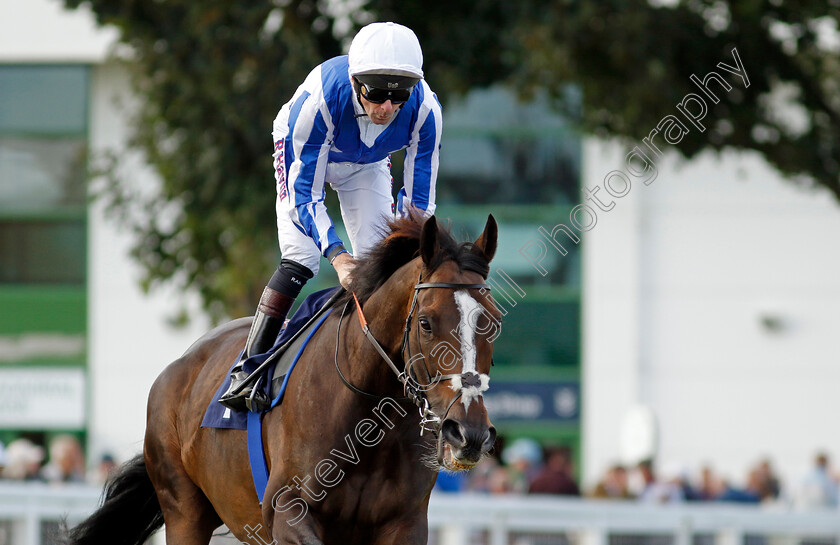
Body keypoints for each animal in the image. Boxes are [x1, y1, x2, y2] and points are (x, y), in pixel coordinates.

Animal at [67, 212, 498, 544]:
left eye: (493, 322)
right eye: (425, 322)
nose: (469, 432)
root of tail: (178, 367)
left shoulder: (404, 522)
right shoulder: (285, 510)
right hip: (184, 508)